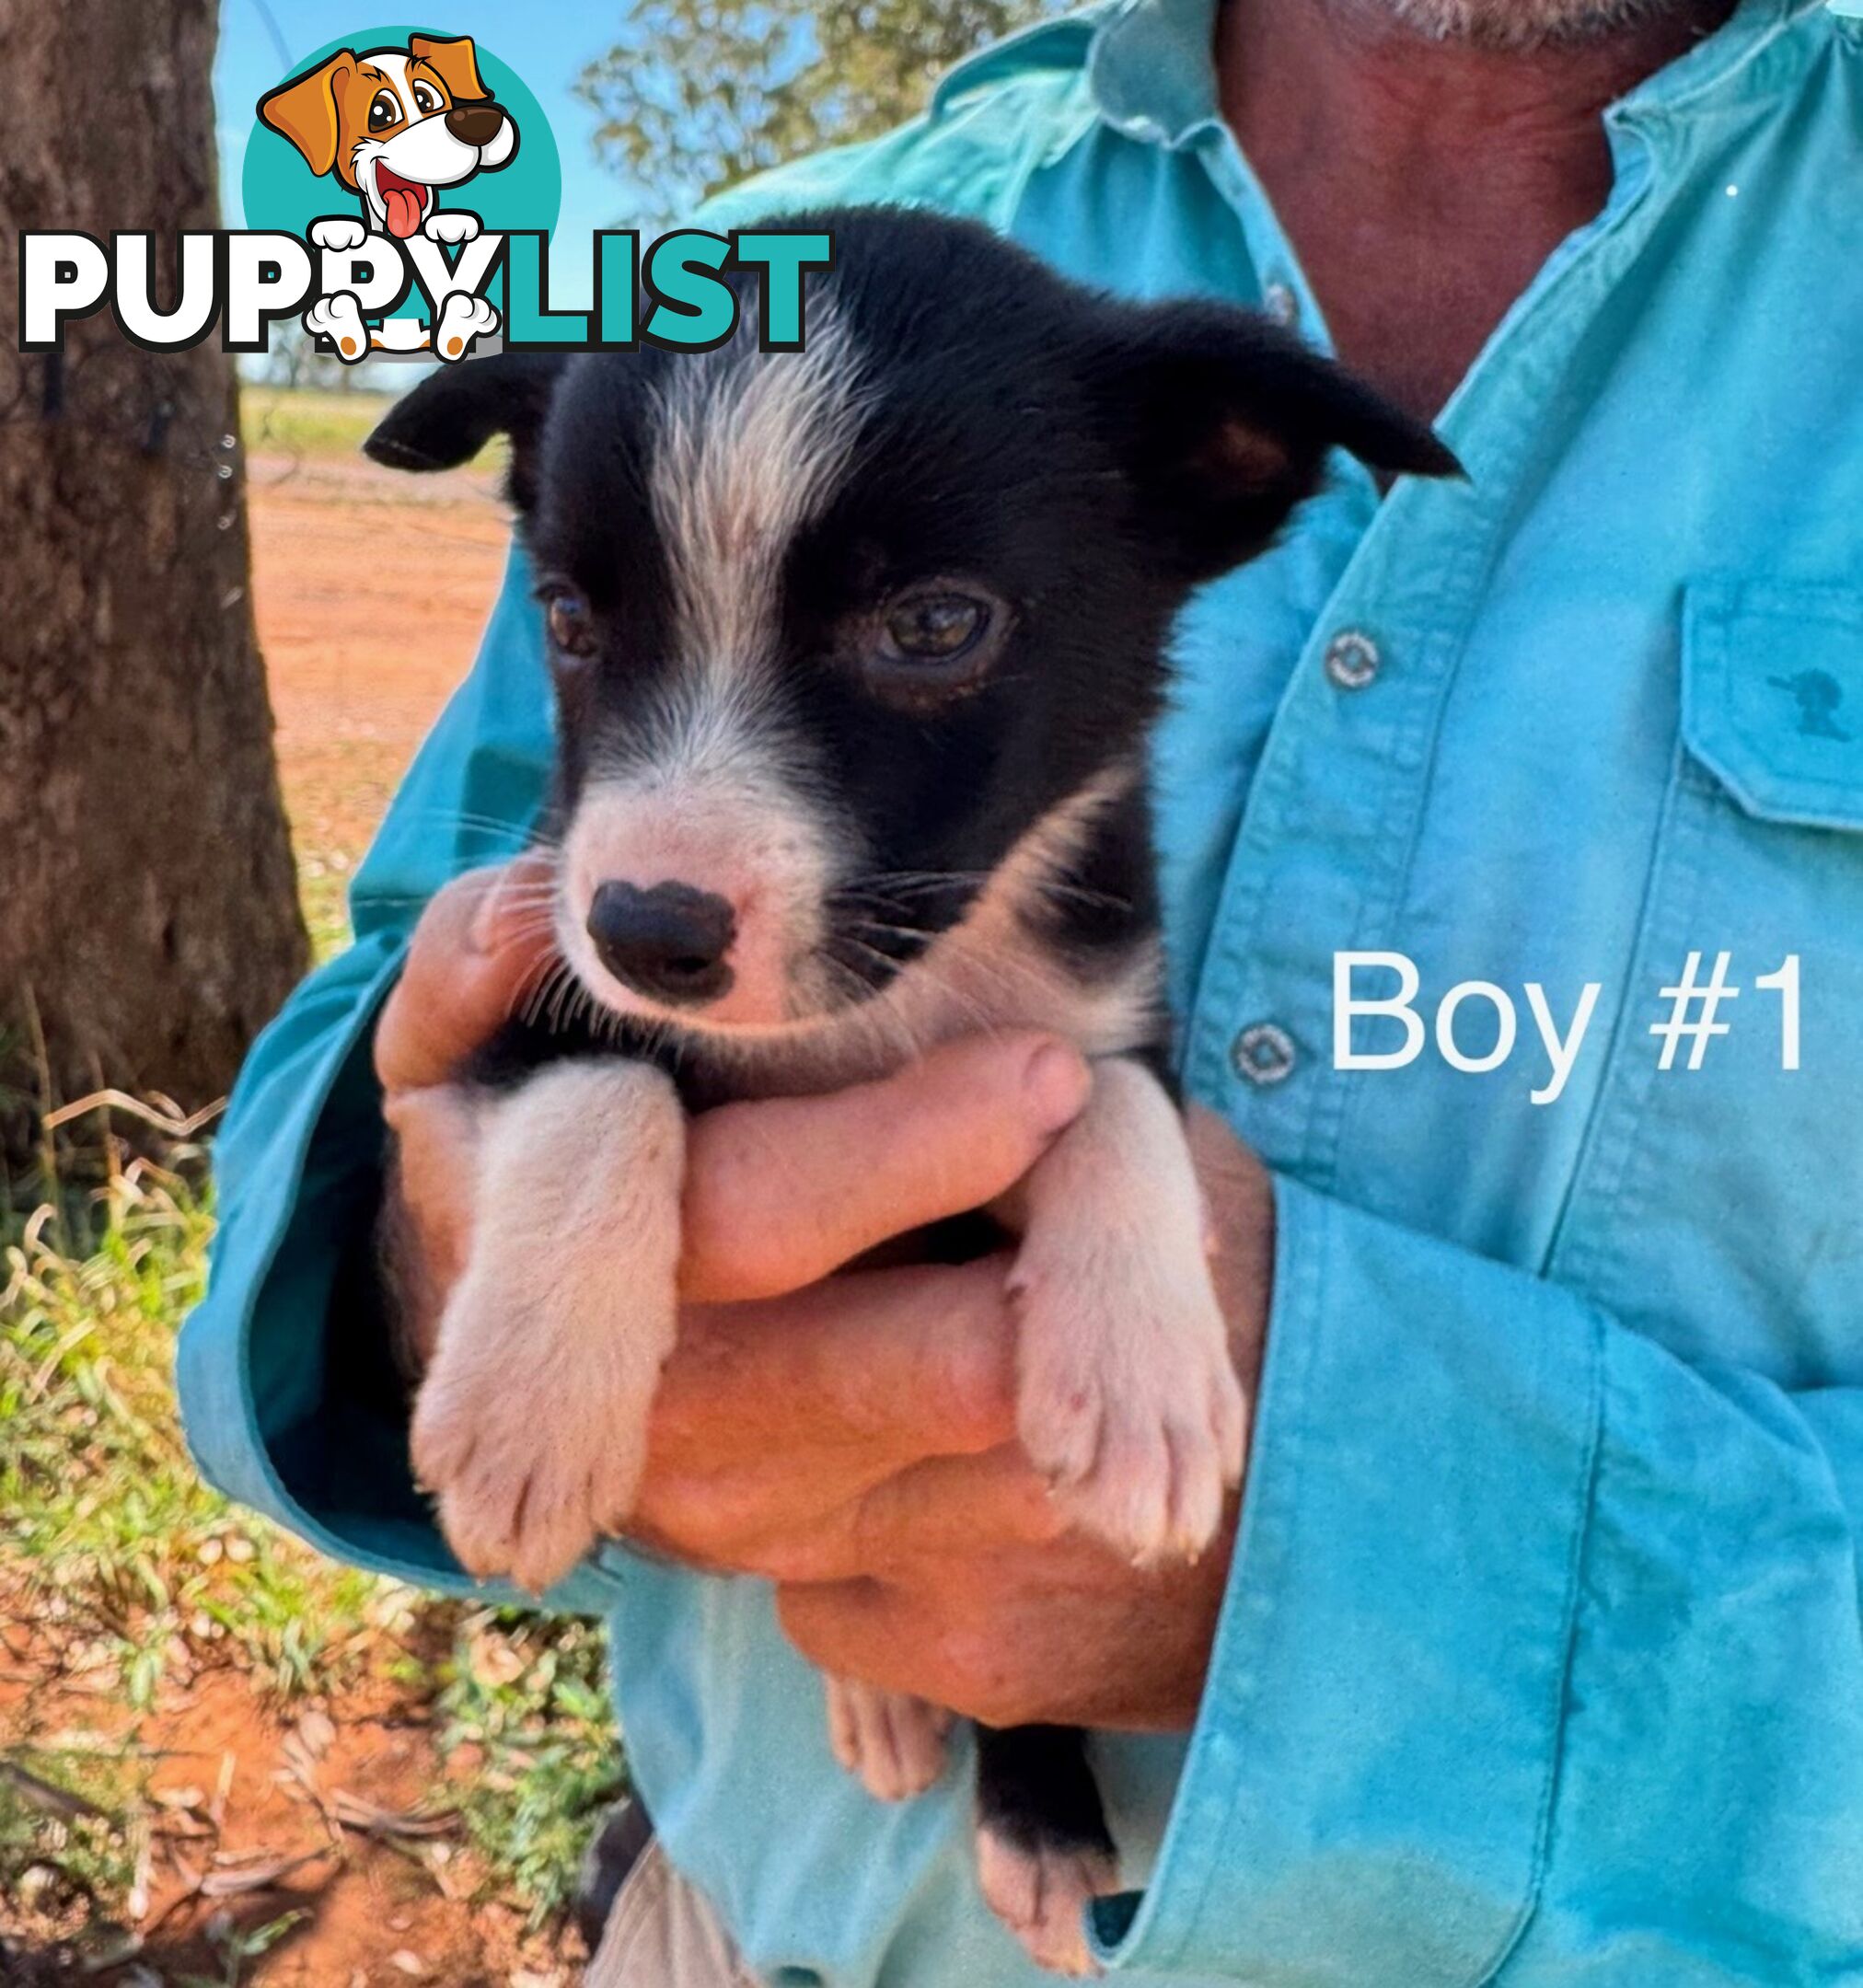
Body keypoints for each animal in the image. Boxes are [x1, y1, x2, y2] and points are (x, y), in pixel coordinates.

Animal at [367, 209, 1455, 1980]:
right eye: (569, 619)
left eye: (936, 628)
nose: (652, 929)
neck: (882, 1005)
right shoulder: (528, 943)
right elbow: (606, 1088)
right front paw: (530, 1403)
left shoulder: (1103, 990)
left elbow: (1109, 1104)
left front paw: (1143, 1369)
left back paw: (1029, 1811)